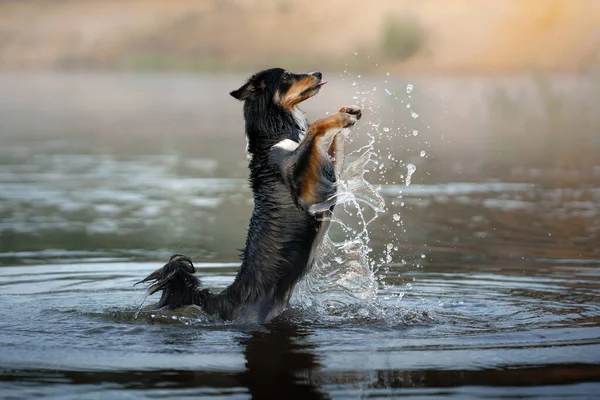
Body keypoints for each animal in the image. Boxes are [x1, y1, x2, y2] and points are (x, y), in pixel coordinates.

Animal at [136, 68, 360, 322]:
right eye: (286, 76)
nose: (318, 72)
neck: (274, 133)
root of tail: (225, 299)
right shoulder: (306, 191)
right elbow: (315, 129)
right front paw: (340, 118)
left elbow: (328, 142)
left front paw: (348, 112)